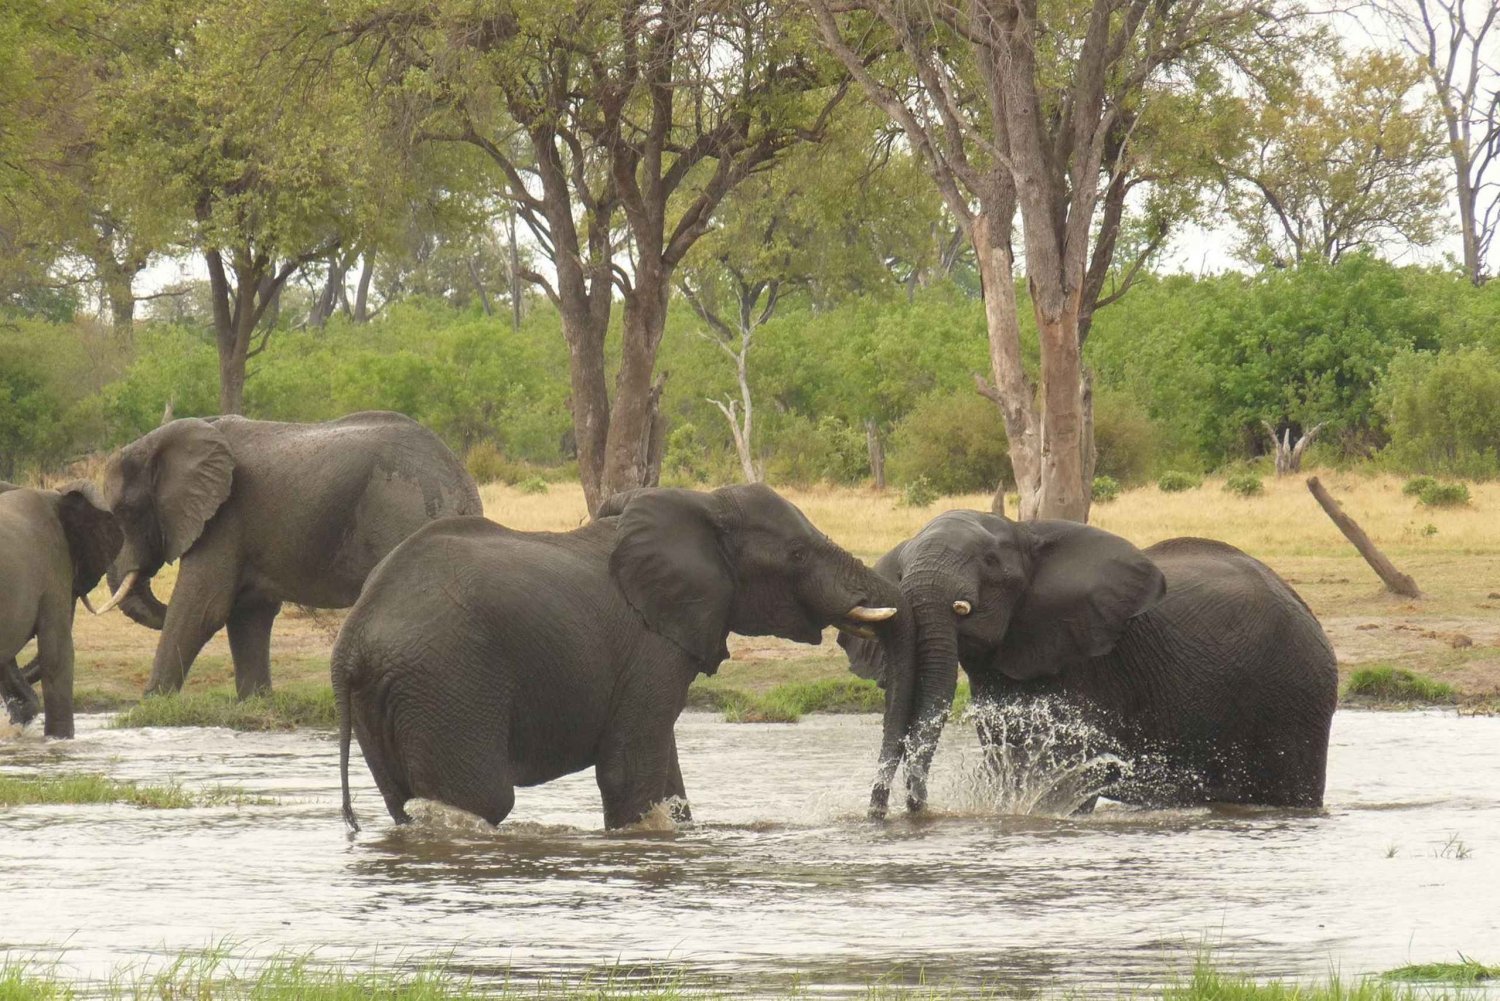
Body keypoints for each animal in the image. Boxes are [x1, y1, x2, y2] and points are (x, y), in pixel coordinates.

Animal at [95, 414, 480, 696]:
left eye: (126, 512)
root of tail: (459, 482)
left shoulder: (224, 518)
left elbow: (204, 609)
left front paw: (150, 707)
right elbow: (248, 613)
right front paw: (256, 703)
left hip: (405, 514)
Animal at [334, 483, 906, 828]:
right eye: (797, 554)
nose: (875, 815)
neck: (703, 505)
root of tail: (351, 640)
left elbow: (666, 778)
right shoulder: (653, 642)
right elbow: (631, 774)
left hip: (393, 695)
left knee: (404, 803)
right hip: (449, 682)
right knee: (481, 801)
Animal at [840, 513, 1344, 816]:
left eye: (989, 562)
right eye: (900, 571)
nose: (906, 810)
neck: (1027, 532)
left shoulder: (1089, 660)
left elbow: (1071, 770)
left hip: (1296, 690)